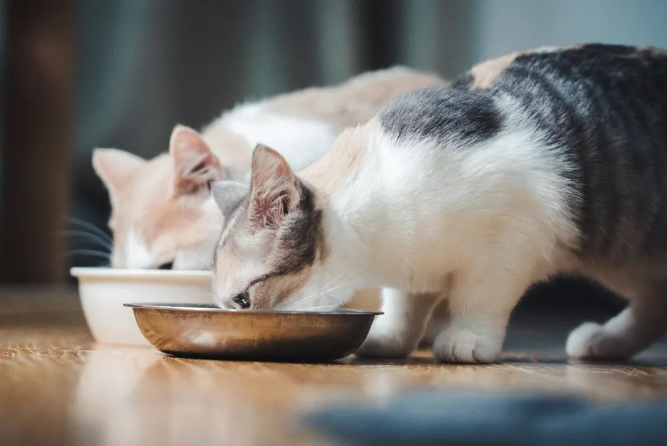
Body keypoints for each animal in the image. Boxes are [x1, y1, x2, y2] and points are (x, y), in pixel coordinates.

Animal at [211, 44, 667, 362]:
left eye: (244, 300)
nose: (237, 320)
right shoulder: (411, 269)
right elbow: (404, 304)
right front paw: (392, 338)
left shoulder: (511, 242)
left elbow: (479, 296)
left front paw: (469, 338)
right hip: (620, 252)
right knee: (654, 301)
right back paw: (606, 340)